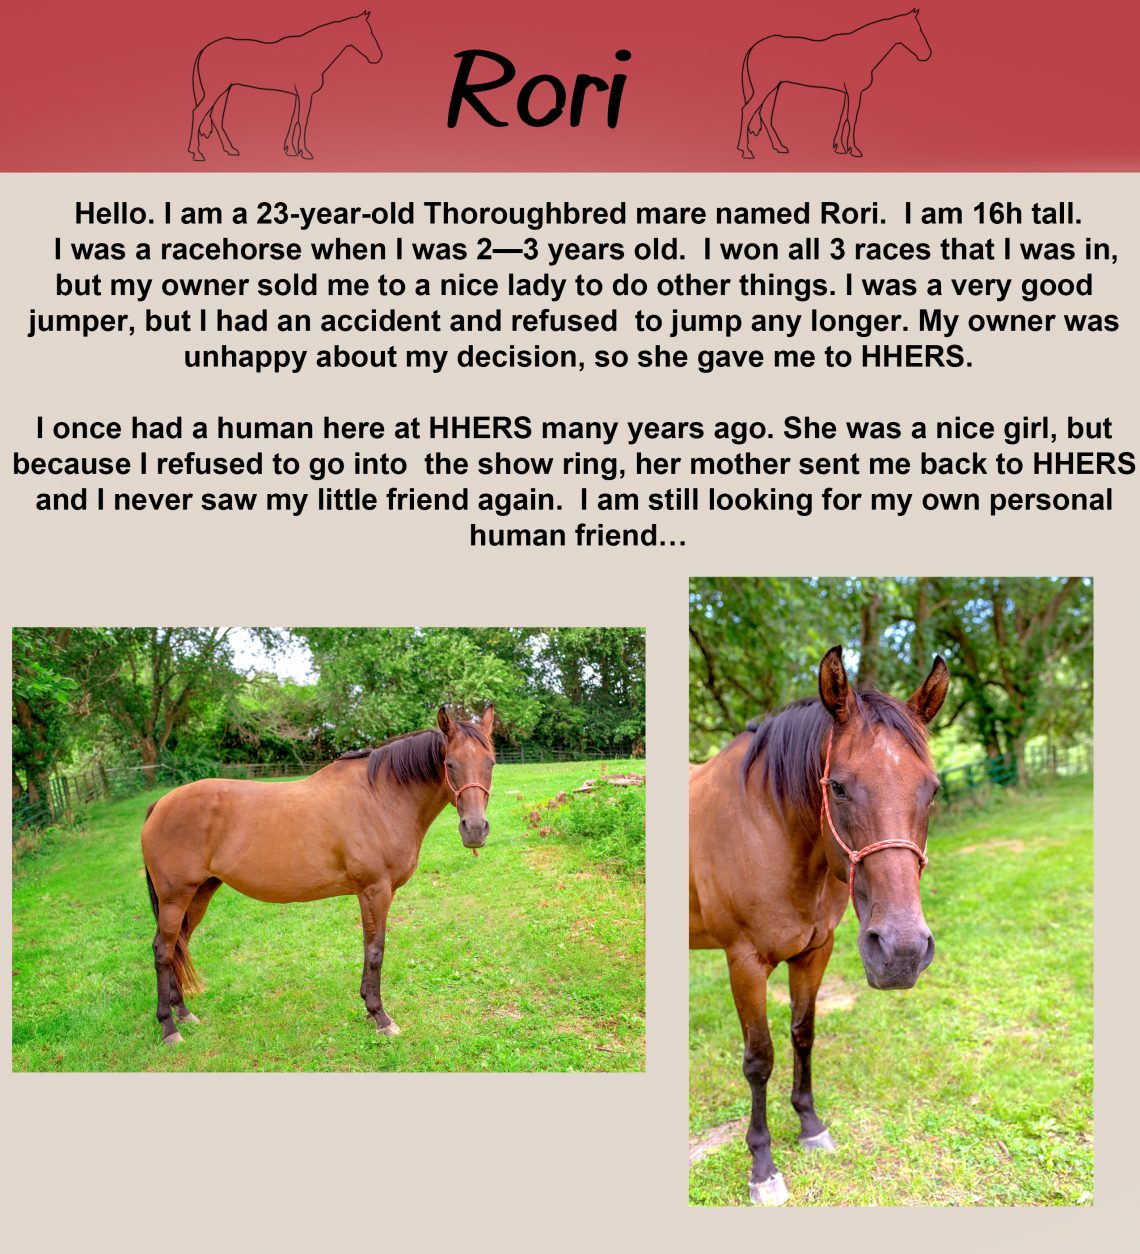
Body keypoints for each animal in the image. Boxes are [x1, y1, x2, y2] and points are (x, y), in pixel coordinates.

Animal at [141, 705, 495, 1046]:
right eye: (450, 764)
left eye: (490, 763)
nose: (475, 829)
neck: (381, 797)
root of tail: (160, 804)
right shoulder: (375, 891)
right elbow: (375, 950)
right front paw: (380, 1016)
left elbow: (369, 947)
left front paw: (368, 1007)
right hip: (175, 898)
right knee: (163, 950)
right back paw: (169, 1027)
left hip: (199, 893)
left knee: (178, 946)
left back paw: (184, 1012)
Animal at [189, 11, 383, 162]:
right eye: (366, 31)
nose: (377, 57)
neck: (312, 53)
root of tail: (204, 50)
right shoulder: (305, 94)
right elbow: (303, 120)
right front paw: (305, 152)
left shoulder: (299, 95)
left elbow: (294, 119)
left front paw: (291, 150)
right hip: (215, 91)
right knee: (199, 113)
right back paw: (197, 153)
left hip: (225, 90)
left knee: (216, 117)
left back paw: (230, 149)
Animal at [689, 648, 948, 1204]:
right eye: (839, 787)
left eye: (933, 790)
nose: (901, 953)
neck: (769, 826)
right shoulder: (744, 962)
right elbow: (759, 1058)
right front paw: (762, 1165)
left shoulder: (815, 951)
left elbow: (803, 1033)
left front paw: (809, 1126)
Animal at [737, 8, 932, 160]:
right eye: (915, 29)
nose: (927, 55)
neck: (861, 50)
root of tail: (753, 47)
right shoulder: (854, 92)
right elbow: (852, 118)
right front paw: (854, 150)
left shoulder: (848, 92)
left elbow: (843, 117)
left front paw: (840, 147)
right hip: (764, 88)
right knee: (748, 110)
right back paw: (746, 151)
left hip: (774, 87)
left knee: (765, 115)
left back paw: (779, 147)